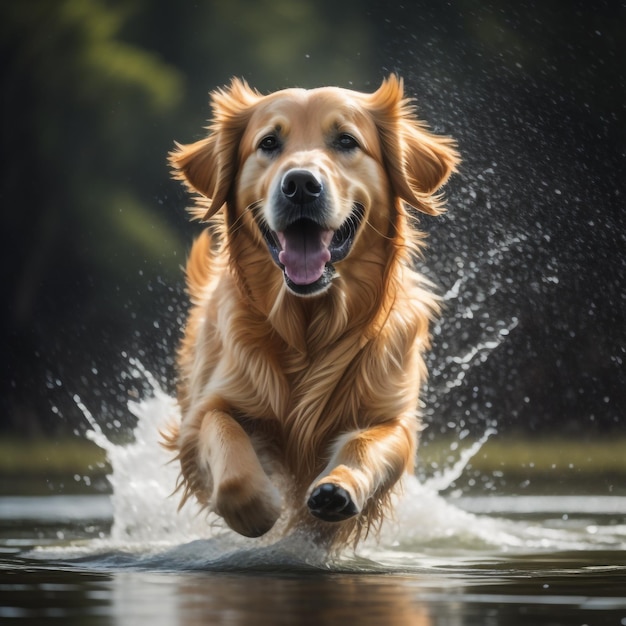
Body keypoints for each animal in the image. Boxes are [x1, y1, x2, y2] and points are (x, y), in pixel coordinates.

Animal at [162, 74, 458, 544]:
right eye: (268, 143)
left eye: (346, 141)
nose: (300, 184)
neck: (307, 328)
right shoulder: (206, 410)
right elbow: (225, 445)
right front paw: (260, 507)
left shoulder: (391, 415)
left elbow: (367, 443)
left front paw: (337, 489)